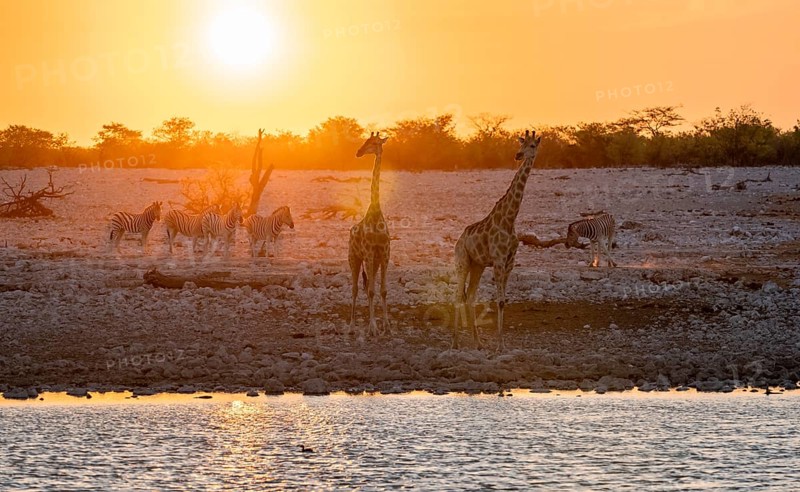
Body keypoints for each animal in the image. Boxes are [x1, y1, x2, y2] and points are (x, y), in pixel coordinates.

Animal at [453, 130, 542, 350]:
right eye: (521, 143)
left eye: (532, 145)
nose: (518, 155)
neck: (509, 219)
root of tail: (459, 240)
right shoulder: (499, 260)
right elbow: (499, 301)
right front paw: (499, 346)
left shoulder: (509, 262)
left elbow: (503, 301)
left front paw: (500, 344)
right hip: (462, 262)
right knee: (458, 296)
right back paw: (455, 342)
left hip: (477, 265)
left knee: (470, 297)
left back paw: (478, 342)